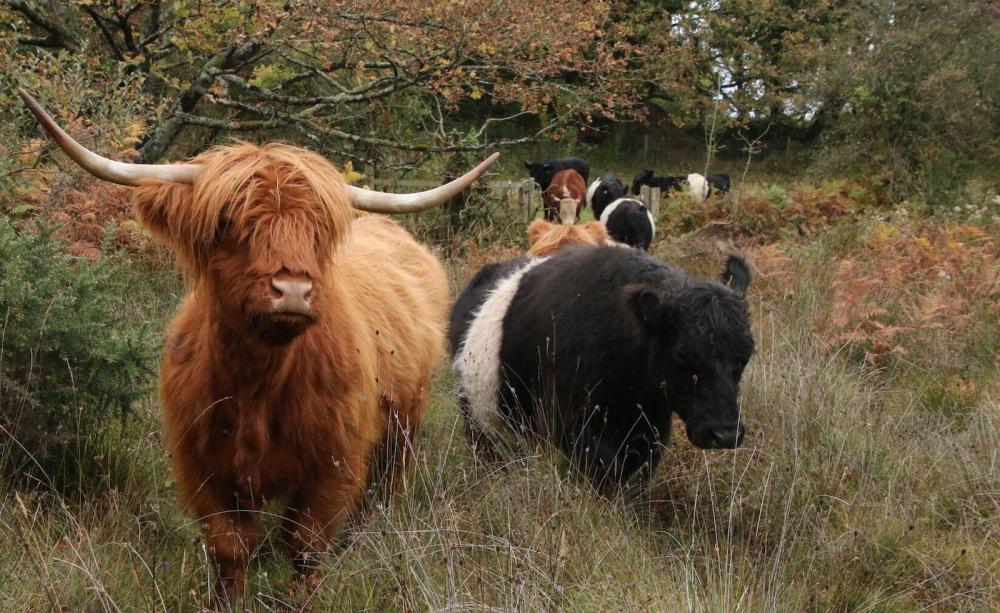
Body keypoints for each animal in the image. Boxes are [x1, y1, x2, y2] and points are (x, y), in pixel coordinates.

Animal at [19, 88, 497, 602]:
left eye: (317, 229)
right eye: (229, 221)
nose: (293, 290)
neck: (257, 383)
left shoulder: (334, 464)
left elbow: (306, 546)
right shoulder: (202, 467)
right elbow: (229, 548)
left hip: (403, 427)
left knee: (383, 493)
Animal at [450, 247, 753, 490]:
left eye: (745, 356)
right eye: (682, 356)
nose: (725, 434)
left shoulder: (651, 425)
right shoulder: (571, 422)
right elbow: (608, 469)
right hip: (478, 420)